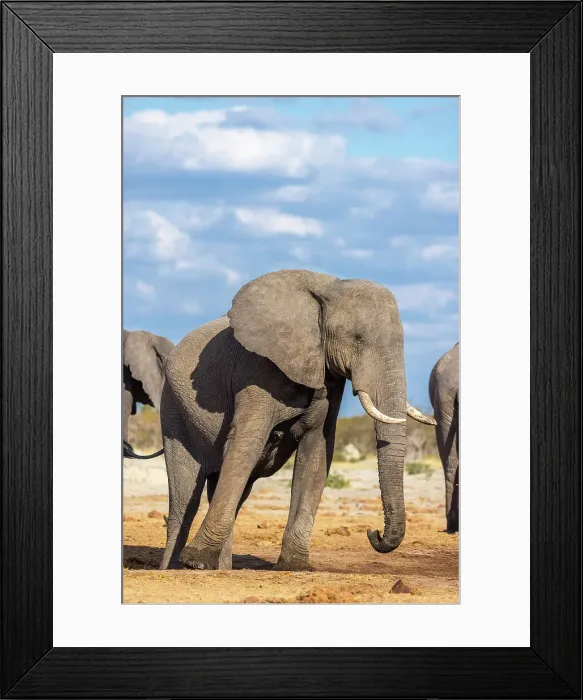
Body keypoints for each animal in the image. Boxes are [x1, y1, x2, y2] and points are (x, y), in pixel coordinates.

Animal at [157, 269, 436, 572]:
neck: (328, 289)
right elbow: (246, 443)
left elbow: (317, 451)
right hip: (174, 410)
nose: (373, 532)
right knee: (185, 498)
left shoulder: (327, 375)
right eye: (358, 338)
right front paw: (196, 561)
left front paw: (294, 565)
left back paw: (223, 570)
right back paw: (174, 568)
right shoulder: (256, 370)